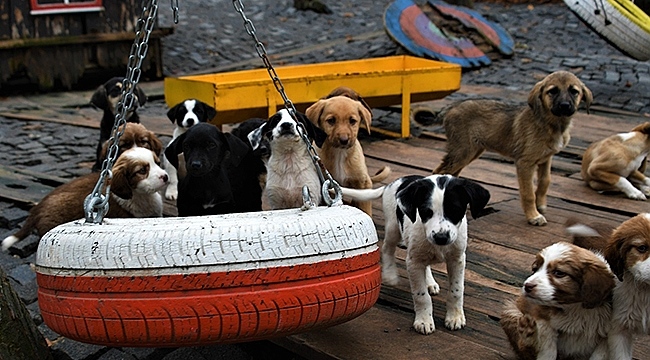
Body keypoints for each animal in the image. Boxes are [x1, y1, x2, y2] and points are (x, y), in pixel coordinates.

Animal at [306, 86, 392, 217]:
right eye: (331, 120)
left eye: (352, 121)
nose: (344, 140)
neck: (339, 154)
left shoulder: (363, 184)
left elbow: (365, 209)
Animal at [340, 174, 486, 334]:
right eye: (426, 212)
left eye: (455, 210)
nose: (441, 237)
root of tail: (395, 182)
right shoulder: (413, 262)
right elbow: (421, 295)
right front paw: (424, 320)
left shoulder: (457, 259)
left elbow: (456, 291)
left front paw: (455, 317)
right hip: (393, 228)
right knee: (387, 248)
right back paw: (390, 273)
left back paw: (430, 282)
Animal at [432, 71, 588, 226]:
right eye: (553, 91)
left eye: (574, 91)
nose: (565, 106)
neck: (551, 124)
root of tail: (450, 107)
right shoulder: (525, 163)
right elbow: (528, 193)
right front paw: (533, 216)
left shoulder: (546, 158)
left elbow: (545, 181)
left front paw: (540, 205)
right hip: (463, 152)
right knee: (438, 172)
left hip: (471, 152)